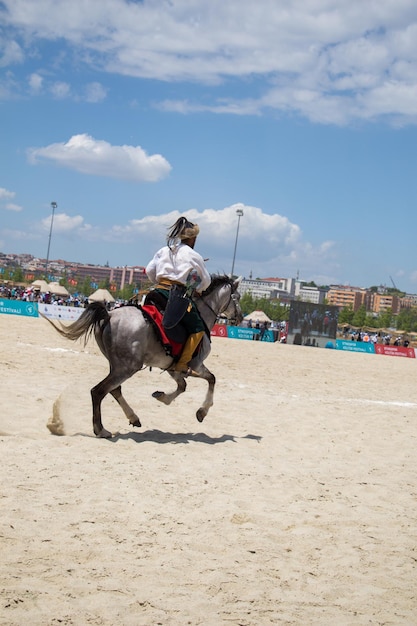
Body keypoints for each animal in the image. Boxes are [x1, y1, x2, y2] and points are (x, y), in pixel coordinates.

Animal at [44, 276, 242, 436]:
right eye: (238, 297)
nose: (240, 317)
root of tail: (109, 314)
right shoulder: (197, 364)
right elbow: (212, 379)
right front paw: (202, 411)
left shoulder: (173, 367)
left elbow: (183, 386)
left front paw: (162, 397)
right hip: (128, 367)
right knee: (99, 391)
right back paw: (101, 429)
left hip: (117, 365)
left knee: (114, 390)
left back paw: (133, 417)